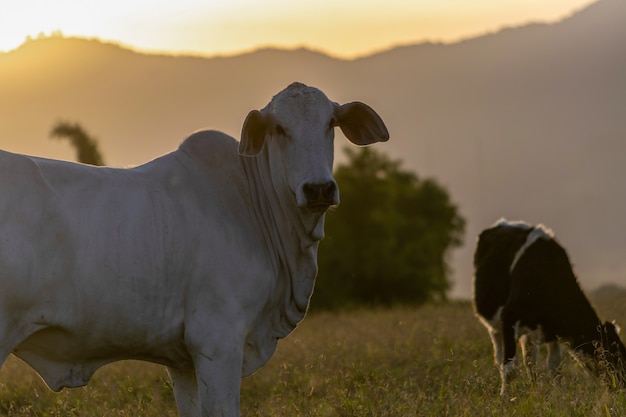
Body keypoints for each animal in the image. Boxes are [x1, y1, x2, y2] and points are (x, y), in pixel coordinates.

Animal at [472, 218, 624, 394]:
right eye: (612, 354)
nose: (622, 386)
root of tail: (504, 222)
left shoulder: (553, 330)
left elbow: (554, 367)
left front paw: (558, 396)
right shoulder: (509, 317)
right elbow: (510, 368)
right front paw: (505, 397)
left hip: (528, 334)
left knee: (530, 362)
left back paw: (534, 389)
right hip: (495, 326)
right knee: (500, 359)